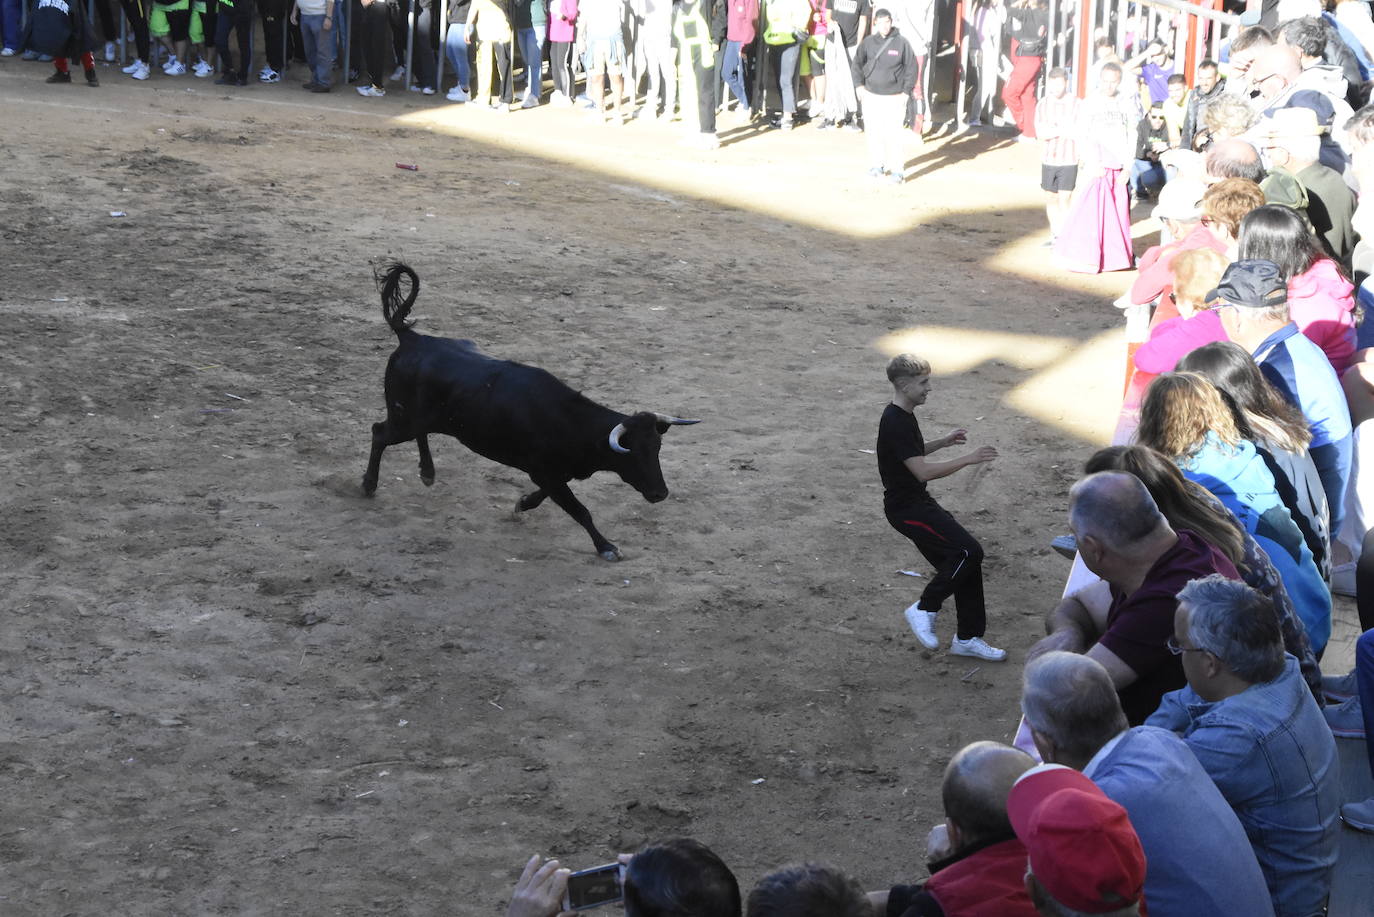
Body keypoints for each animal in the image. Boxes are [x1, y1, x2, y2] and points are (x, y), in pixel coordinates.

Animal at [359, 263, 697, 560]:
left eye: (657, 448)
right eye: (632, 453)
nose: (660, 494)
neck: (573, 424)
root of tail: (411, 337)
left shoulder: (556, 473)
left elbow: (547, 497)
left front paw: (522, 503)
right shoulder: (544, 471)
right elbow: (580, 510)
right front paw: (607, 547)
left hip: (421, 417)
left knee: (419, 433)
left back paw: (427, 473)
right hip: (403, 417)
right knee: (380, 433)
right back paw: (369, 486)